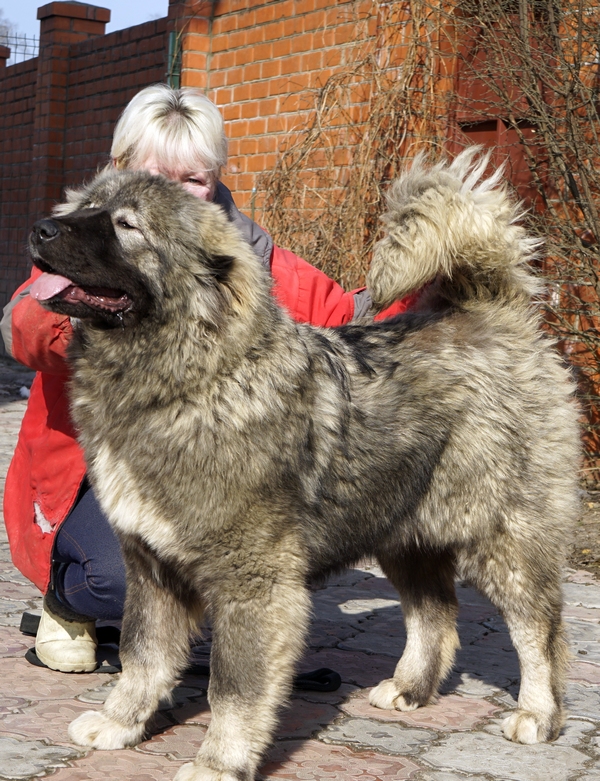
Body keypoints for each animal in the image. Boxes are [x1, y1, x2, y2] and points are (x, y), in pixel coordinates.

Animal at [29, 148, 580, 780]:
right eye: (84, 207)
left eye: (127, 225)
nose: (40, 230)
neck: (188, 378)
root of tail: (494, 312)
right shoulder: (151, 566)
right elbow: (141, 656)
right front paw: (120, 723)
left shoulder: (253, 581)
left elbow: (233, 686)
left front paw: (218, 761)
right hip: (402, 530)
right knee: (436, 614)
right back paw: (410, 688)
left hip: (501, 535)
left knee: (539, 627)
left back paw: (538, 714)